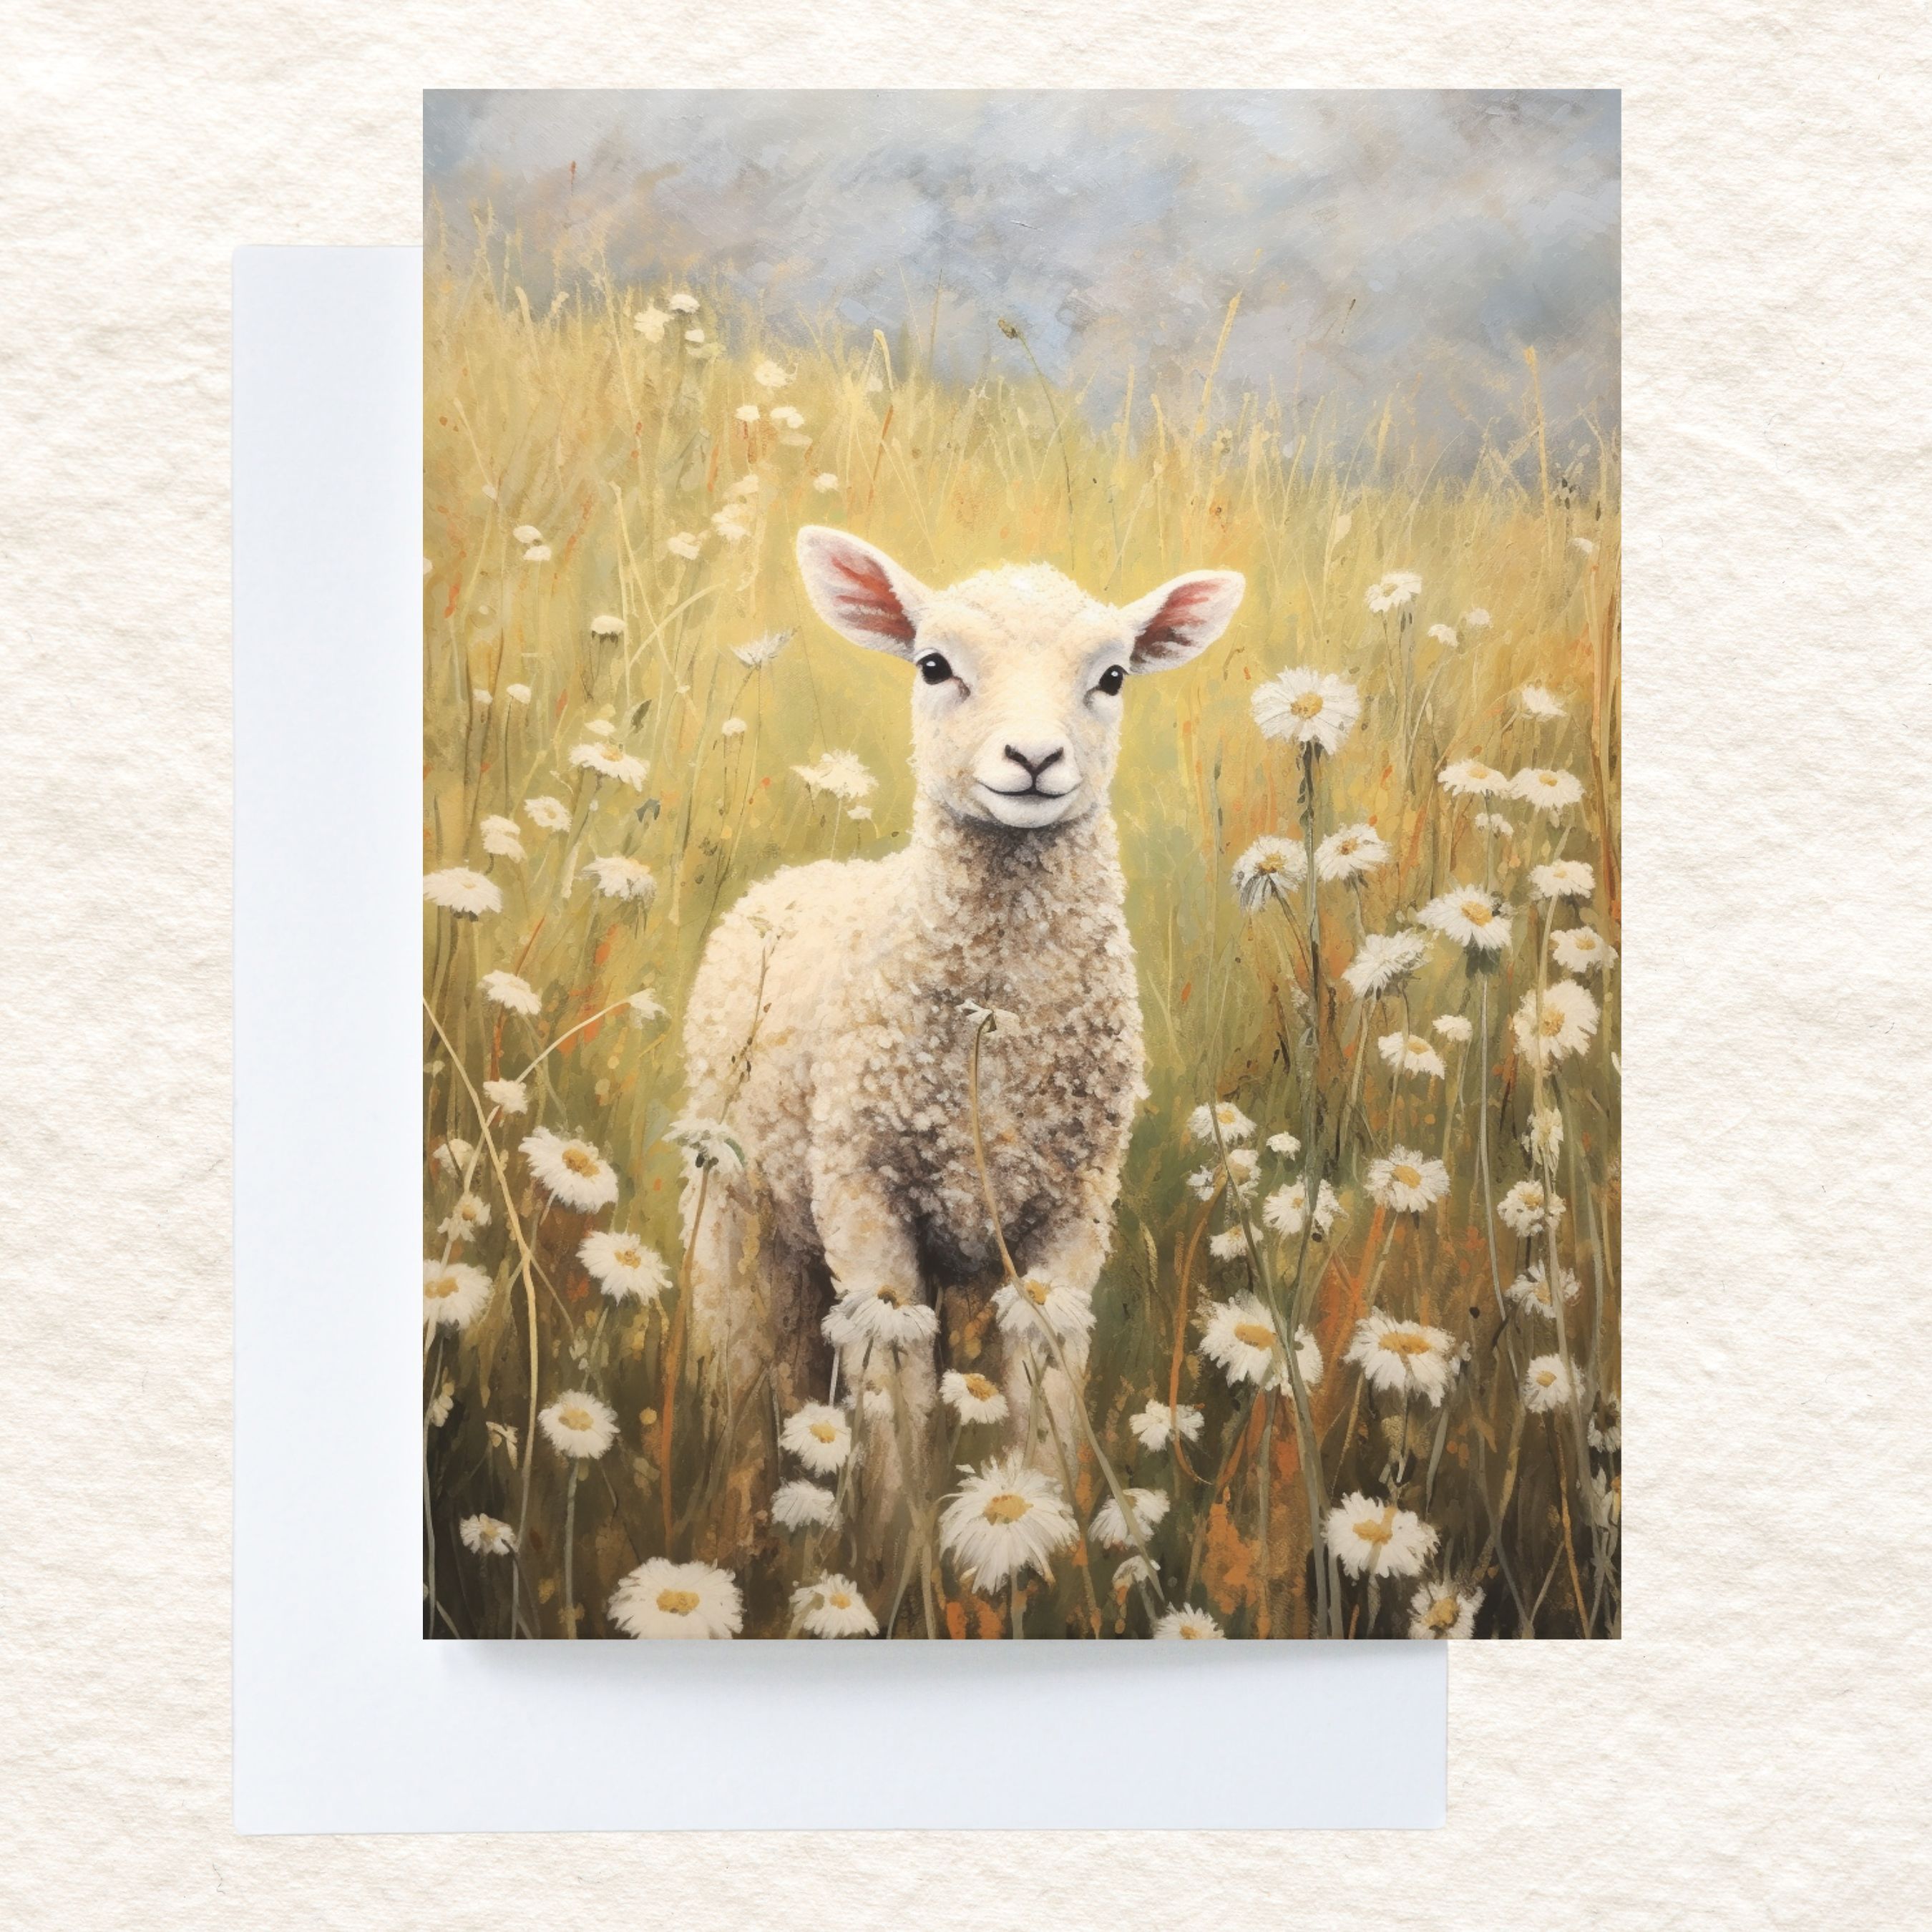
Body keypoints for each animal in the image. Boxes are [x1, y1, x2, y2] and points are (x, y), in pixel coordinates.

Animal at [680, 526, 1244, 1519]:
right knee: (744, 1352)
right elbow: (893, 1396)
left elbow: (1046, 1387)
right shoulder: (863, 1195)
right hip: (737, 1211)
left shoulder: (1072, 1210)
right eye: (934, 666)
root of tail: (785, 881)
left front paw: (1040, 1529)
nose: (1034, 758)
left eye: (1113, 677)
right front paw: (897, 1541)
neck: (1000, 1033)